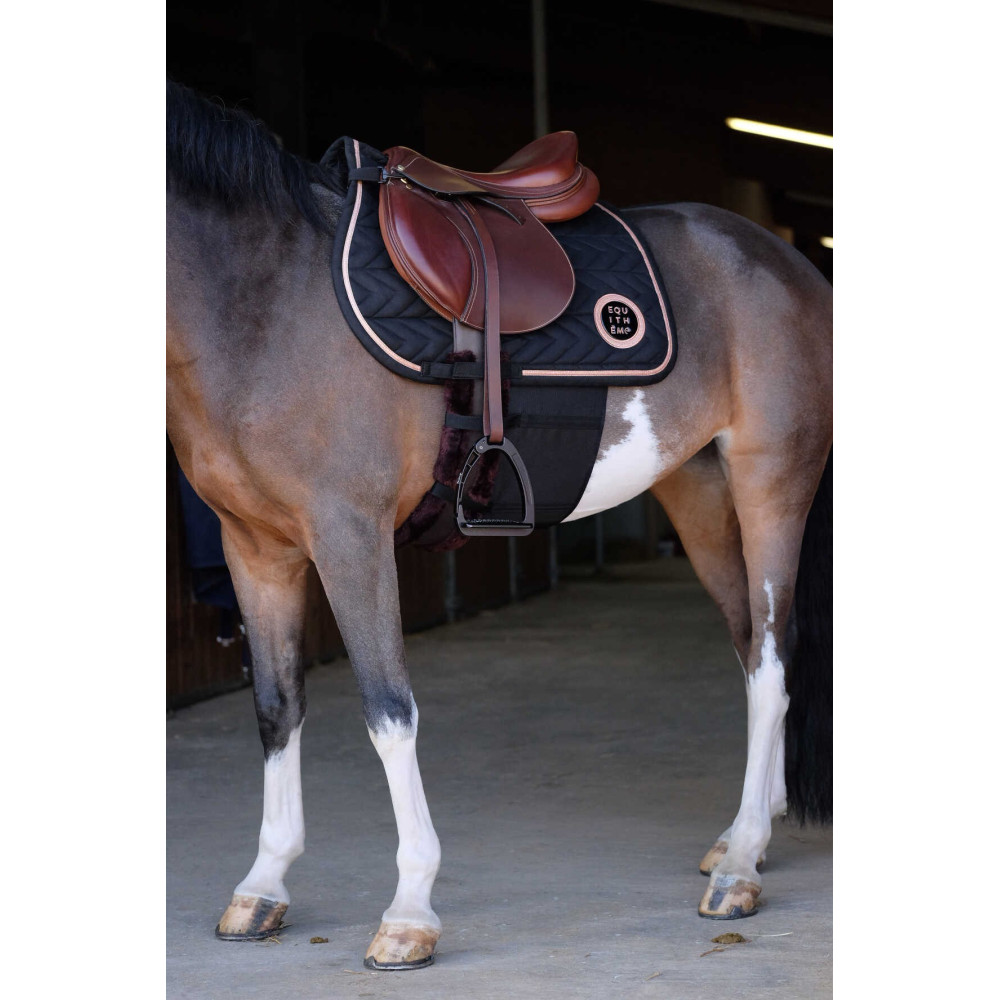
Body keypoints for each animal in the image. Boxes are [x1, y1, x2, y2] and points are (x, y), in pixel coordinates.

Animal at [166, 80, 832, 970]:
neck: (265, 299)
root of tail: (782, 259)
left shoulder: (349, 536)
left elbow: (388, 712)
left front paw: (409, 912)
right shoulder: (255, 547)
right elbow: (277, 707)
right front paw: (263, 886)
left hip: (771, 486)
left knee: (771, 663)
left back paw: (741, 870)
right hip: (700, 498)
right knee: (752, 646)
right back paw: (738, 843)